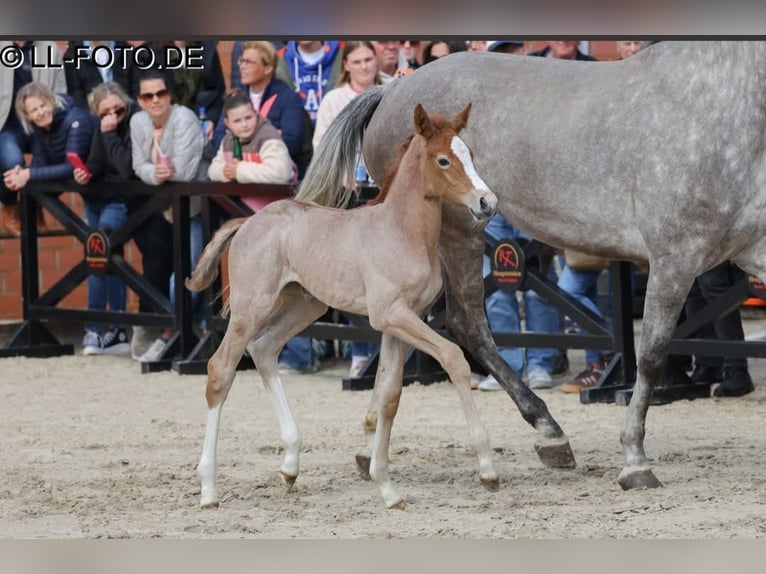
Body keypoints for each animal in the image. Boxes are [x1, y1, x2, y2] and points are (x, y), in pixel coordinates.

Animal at [186, 102, 498, 510]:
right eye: (443, 159)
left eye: (470, 154)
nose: (487, 202)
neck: (402, 232)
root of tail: (247, 222)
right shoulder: (391, 314)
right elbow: (454, 358)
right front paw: (487, 469)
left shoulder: (403, 320)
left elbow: (390, 395)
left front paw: (387, 486)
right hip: (251, 307)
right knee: (220, 370)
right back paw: (209, 489)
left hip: (304, 306)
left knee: (264, 349)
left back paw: (290, 465)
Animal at [296, 42, 766, 491]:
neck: (726, 102)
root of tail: (393, 88)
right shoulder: (675, 257)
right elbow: (651, 355)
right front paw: (635, 462)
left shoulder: (750, 252)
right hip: (457, 233)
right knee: (465, 324)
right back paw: (548, 432)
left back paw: (371, 450)